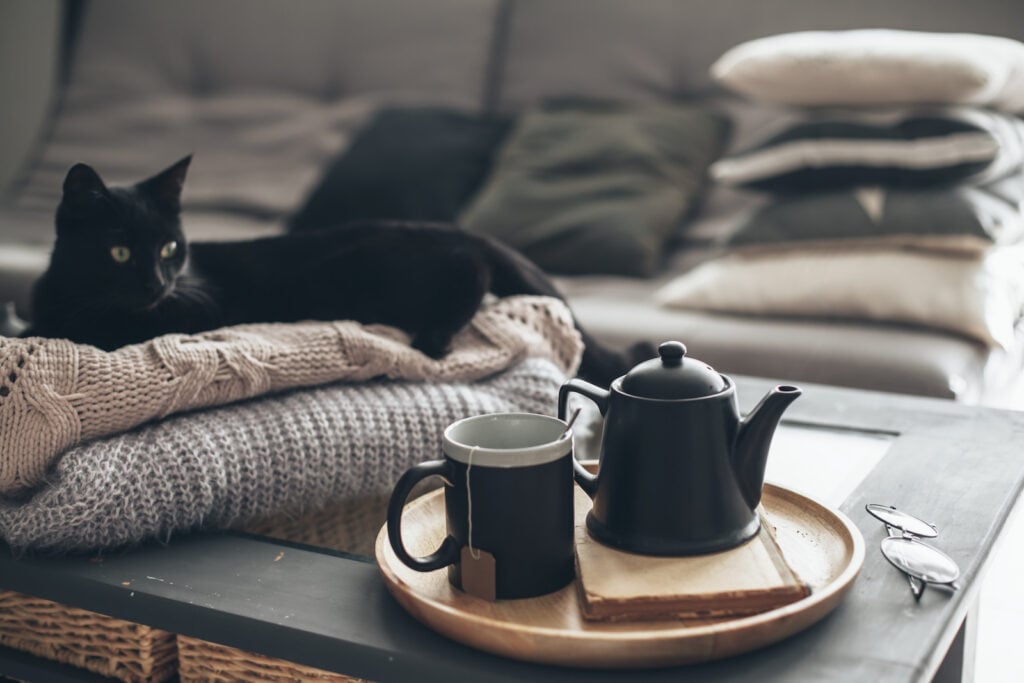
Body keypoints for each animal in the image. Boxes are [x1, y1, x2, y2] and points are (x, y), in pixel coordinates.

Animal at [25, 156, 647, 387]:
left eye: (169, 248)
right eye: (121, 253)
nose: (158, 284)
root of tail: (456, 227)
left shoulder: (188, 312)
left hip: (393, 269)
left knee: (469, 274)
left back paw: (435, 337)